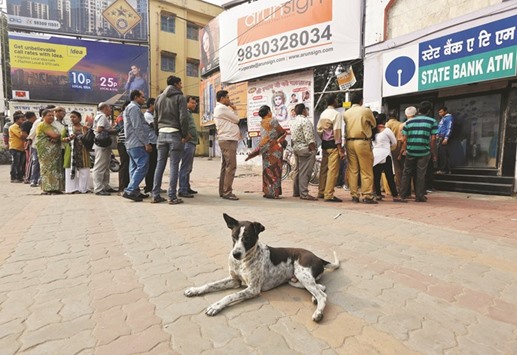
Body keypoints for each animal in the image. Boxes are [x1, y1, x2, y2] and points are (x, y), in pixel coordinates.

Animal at [184, 214, 338, 322]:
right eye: (234, 236)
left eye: (247, 238)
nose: (235, 254)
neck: (243, 261)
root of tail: (319, 258)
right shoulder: (235, 281)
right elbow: (210, 284)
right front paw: (194, 290)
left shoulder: (253, 289)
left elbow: (230, 296)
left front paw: (216, 306)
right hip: (295, 281)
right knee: (321, 287)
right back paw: (314, 298)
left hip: (302, 275)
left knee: (322, 295)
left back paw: (318, 312)